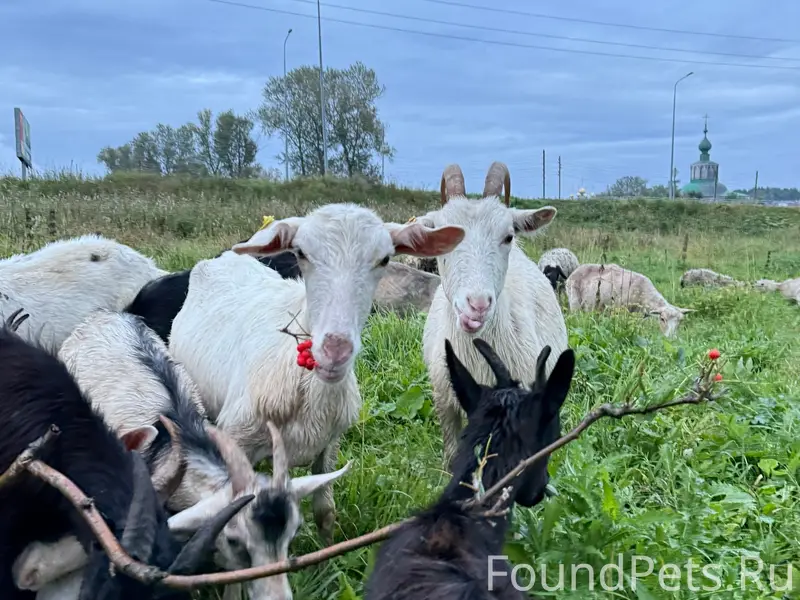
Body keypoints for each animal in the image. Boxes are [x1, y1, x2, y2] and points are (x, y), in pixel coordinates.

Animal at [167, 203, 464, 543]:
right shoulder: (238, 443)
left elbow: (325, 512)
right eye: (301, 253)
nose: (335, 350)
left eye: (385, 259)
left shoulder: (329, 444)